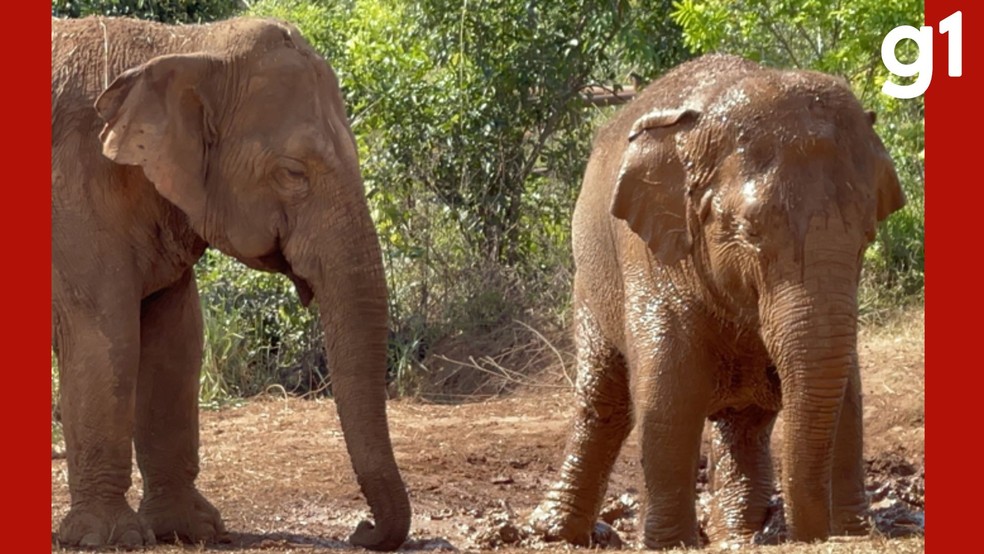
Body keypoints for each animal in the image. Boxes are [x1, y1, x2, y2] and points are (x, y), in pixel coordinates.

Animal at [51, 16, 410, 550]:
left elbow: (176, 340)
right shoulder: (73, 193)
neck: (185, 45)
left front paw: (190, 529)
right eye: (292, 172)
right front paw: (110, 537)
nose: (361, 530)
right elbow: (105, 335)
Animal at [530, 54, 905, 548]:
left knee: (743, 422)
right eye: (751, 231)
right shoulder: (652, 252)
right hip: (590, 284)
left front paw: (854, 531)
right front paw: (668, 543)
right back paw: (553, 532)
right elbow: (670, 387)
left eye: (867, 235)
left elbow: (847, 392)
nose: (810, 534)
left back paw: (735, 534)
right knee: (604, 402)